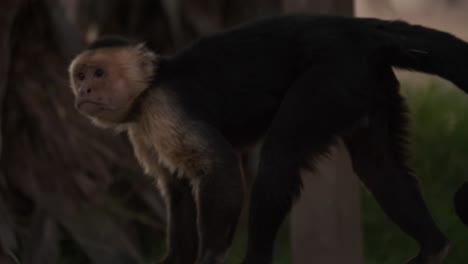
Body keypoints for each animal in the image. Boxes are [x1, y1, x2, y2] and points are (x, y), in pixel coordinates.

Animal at [68, 15, 468, 262]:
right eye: (80, 76)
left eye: (99, 73)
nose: (84, 89)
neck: (147, 90)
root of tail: (356, 29)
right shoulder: (141, 130)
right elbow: (177, 187)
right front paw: (174, 260)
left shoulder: (165, 107)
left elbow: (219, 166)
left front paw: (210, 256)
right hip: (366, 83)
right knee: (378, 167)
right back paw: (433, 248)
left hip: (334, 75)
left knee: (280, 155)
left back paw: (256, 257)